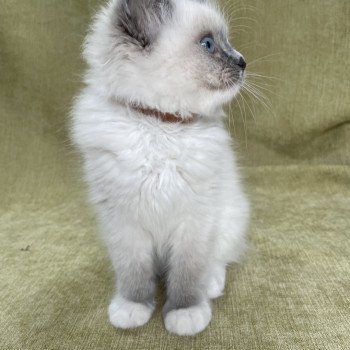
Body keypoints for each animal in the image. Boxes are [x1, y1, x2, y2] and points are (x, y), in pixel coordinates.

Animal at [72, 0, 250, 336]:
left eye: (226, 42)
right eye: (208, 45)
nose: (242, 61)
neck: (161, 124)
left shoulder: (195, 221)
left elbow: (188, 275)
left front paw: (185, 313)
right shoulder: (124, 223)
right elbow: (134, 273)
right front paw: (134, 308)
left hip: (228, 216)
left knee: (218, 260)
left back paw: (211, 285)